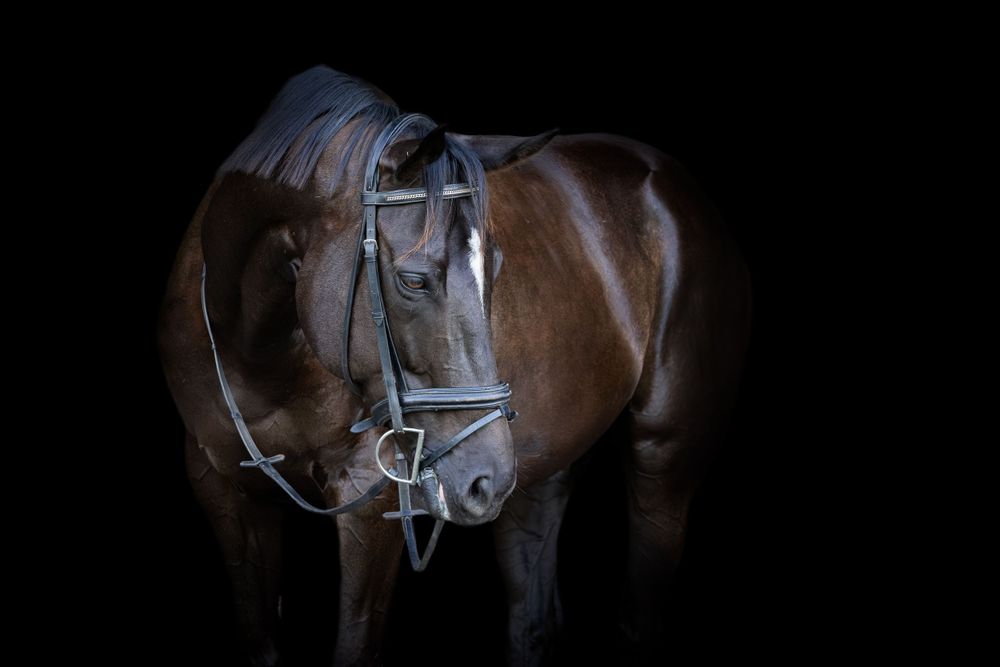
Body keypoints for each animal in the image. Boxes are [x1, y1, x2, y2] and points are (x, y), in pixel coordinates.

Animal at [158, 65, 751, 666]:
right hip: (540, 474)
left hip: (663, 456)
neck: (259, 352)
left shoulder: (368, 500)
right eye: (413, 280)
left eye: (497, 265)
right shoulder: (221, 487)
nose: (486, 477)